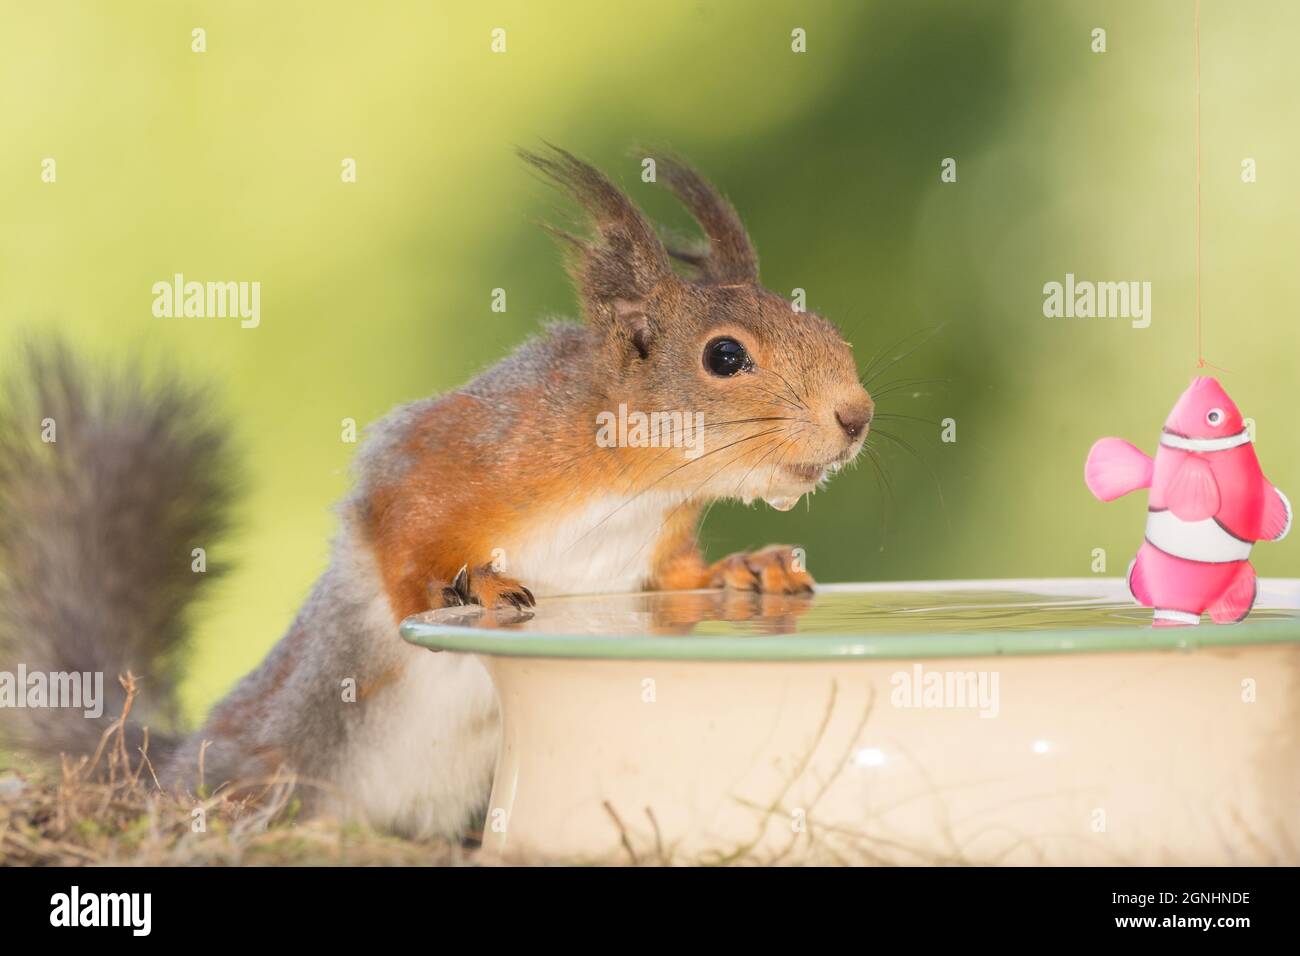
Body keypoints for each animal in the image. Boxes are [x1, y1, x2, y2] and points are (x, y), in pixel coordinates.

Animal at [0, 147, 873, 839]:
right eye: (725, 357)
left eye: (831, 331)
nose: (856, 418)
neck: (635, 481)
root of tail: (164, 765)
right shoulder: (454, 449)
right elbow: (396, 526)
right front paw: (468, 585)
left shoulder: (652, 549)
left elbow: (679, 580)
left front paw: (749, 568)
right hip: (271, 757)